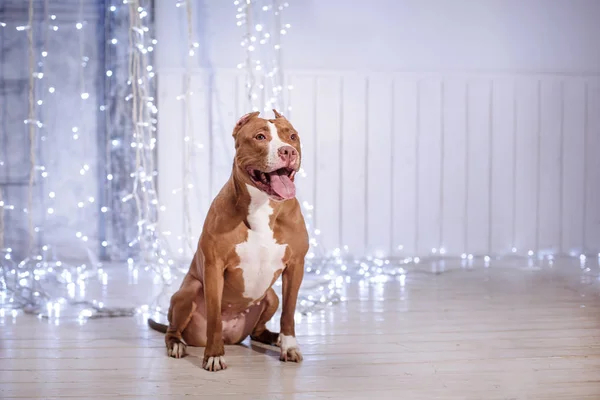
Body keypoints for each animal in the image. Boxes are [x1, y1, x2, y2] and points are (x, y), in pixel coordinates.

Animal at [148, 109, 310, 372]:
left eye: (293, 137)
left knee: (257, 331)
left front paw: (289, 347)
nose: (288, 151)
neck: (262, 205)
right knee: (173, 329)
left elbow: (289, 312)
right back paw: (177, 345)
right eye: (260, 136)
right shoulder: (214, 266)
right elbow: (214, 316)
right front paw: (213, 356)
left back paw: (273, 338)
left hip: (270, 297)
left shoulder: (296, 265)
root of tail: (232, 336)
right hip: (188, 292)